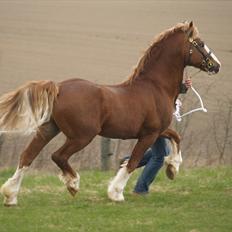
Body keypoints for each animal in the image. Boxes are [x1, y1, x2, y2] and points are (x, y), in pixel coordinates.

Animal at [0, 21, 221, 205]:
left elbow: (175, 136)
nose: (217, 65)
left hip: (49, 129)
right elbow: (133, 161)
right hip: (81, 136)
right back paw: (73, 184)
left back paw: (11, 196)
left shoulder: (157, 130)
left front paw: (172, 168)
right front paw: (116, 193)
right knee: (58, 156)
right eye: (200, 43)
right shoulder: (149, 134)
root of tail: (58, 87)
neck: (155, 86)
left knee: (27, 156)